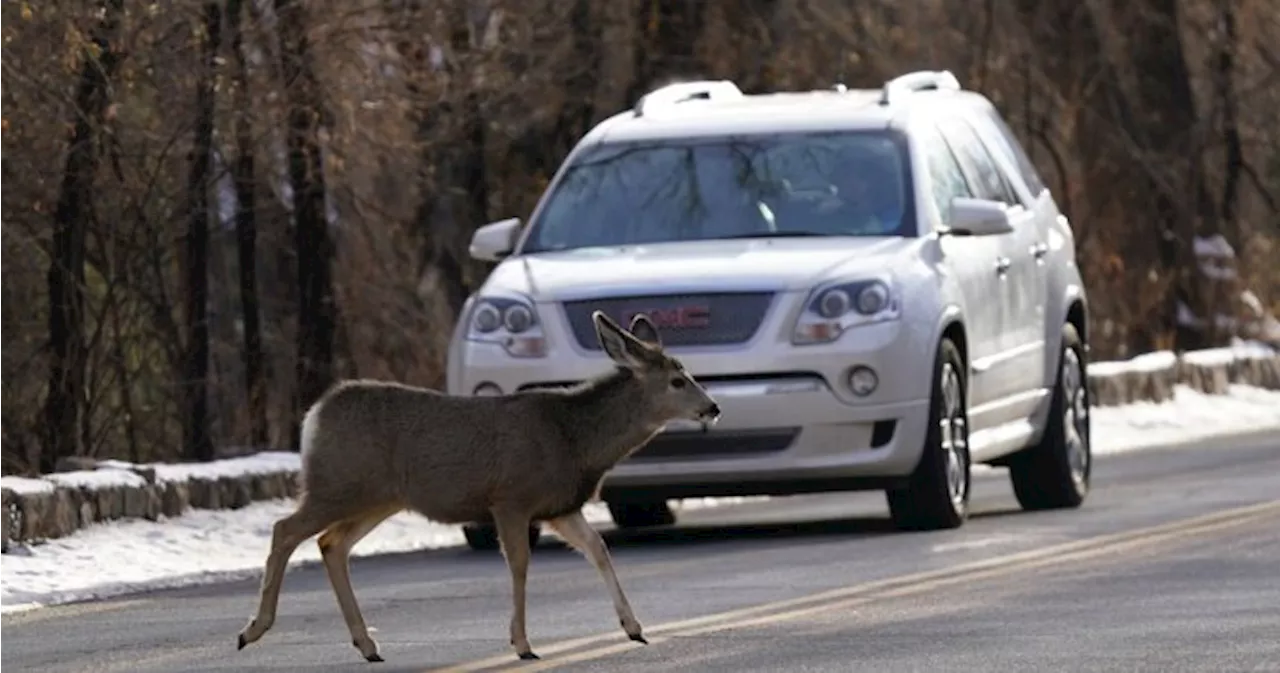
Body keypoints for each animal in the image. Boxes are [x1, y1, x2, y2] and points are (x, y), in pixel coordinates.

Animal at [234, 310, 721, 665]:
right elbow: (519, 565)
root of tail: (313, 416)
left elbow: (598, 550)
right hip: (336, 483)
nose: (713, 407)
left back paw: (367, 646)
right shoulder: (511, 497)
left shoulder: (560, 506)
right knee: (286, 529)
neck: (575, 440)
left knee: (331, 543)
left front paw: (634, 628)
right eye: (678, 380)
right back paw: (252, 630)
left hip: (376, 497)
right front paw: (522, 643)